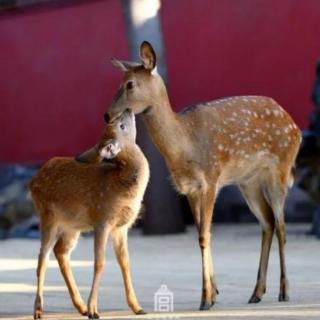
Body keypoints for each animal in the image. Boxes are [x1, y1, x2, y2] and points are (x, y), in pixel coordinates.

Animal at [30, 109, 149, 318]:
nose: (128, 110)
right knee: (42, 259)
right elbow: (99, 262)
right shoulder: (102, 219)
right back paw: (39, 310)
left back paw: (81, 307)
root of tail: (32, 181)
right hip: (47, 217)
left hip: (72, 226)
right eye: (121, 126)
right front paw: (94, 309)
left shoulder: (122, 227)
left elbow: (125, 262)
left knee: (60, 251)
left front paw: (137, 307)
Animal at [107, 41, 302, 308]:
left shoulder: (211, 178)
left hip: (280, 168)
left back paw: (284, 291)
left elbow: (203, 235)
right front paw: (213, 293)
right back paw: (256, 292)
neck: (184, 143)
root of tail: (295, 127)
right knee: (268, 222)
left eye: (130, 84)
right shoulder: (188, 187)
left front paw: (205, 298)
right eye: (120, 81)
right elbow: (203, 233)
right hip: (248, 182)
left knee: (281, 226)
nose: (107, 114)